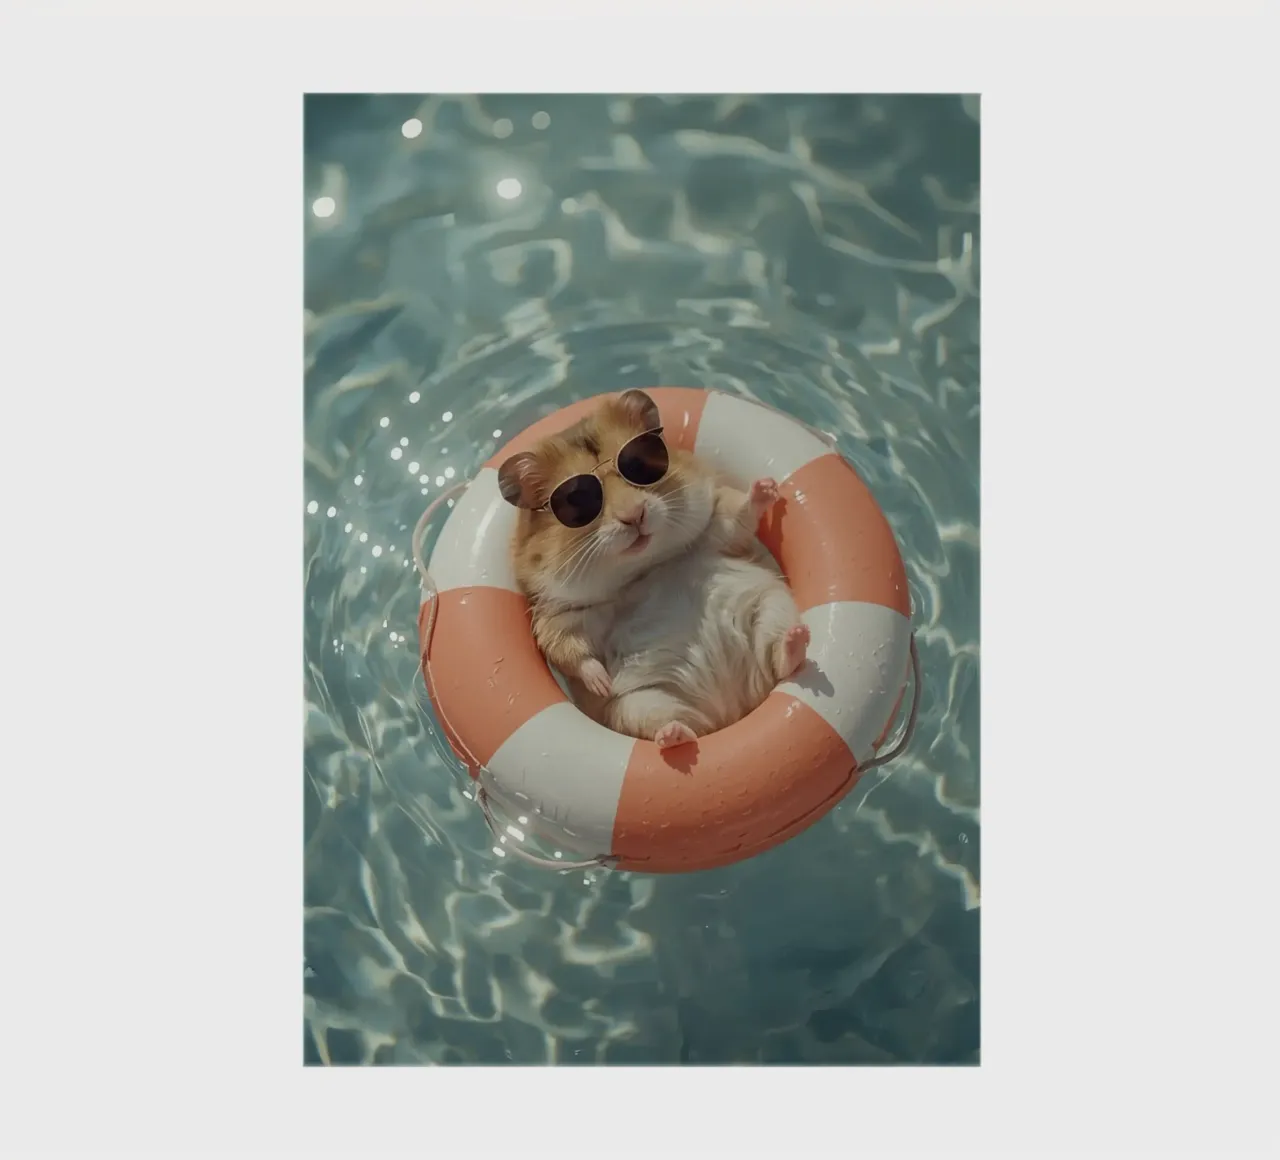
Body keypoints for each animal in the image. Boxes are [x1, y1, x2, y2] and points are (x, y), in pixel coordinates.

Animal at [497, 389, 810, 750]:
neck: (643, 569)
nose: (635, 516)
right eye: (576, 500)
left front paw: (766, 487)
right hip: (638, 705)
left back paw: (798, 638)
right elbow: (573, 651)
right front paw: (601, 683)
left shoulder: (715, 530)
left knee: (781, 660)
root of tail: (735, 709)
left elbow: (738, 515)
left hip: (771, 609)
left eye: (641, 464)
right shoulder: (561, 616)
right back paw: (674, 737)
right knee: (676, 724)